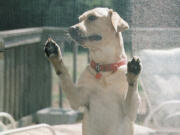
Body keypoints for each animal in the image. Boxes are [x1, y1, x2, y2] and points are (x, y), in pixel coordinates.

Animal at [44, 7, 141, 135]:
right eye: (79, 19)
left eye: (92, 17)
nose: (71, 28)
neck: (104, 69)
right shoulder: (77, 98)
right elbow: (64, 74)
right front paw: (54, 54)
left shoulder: (130, 110)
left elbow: (132, 88)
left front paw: (133, 72)